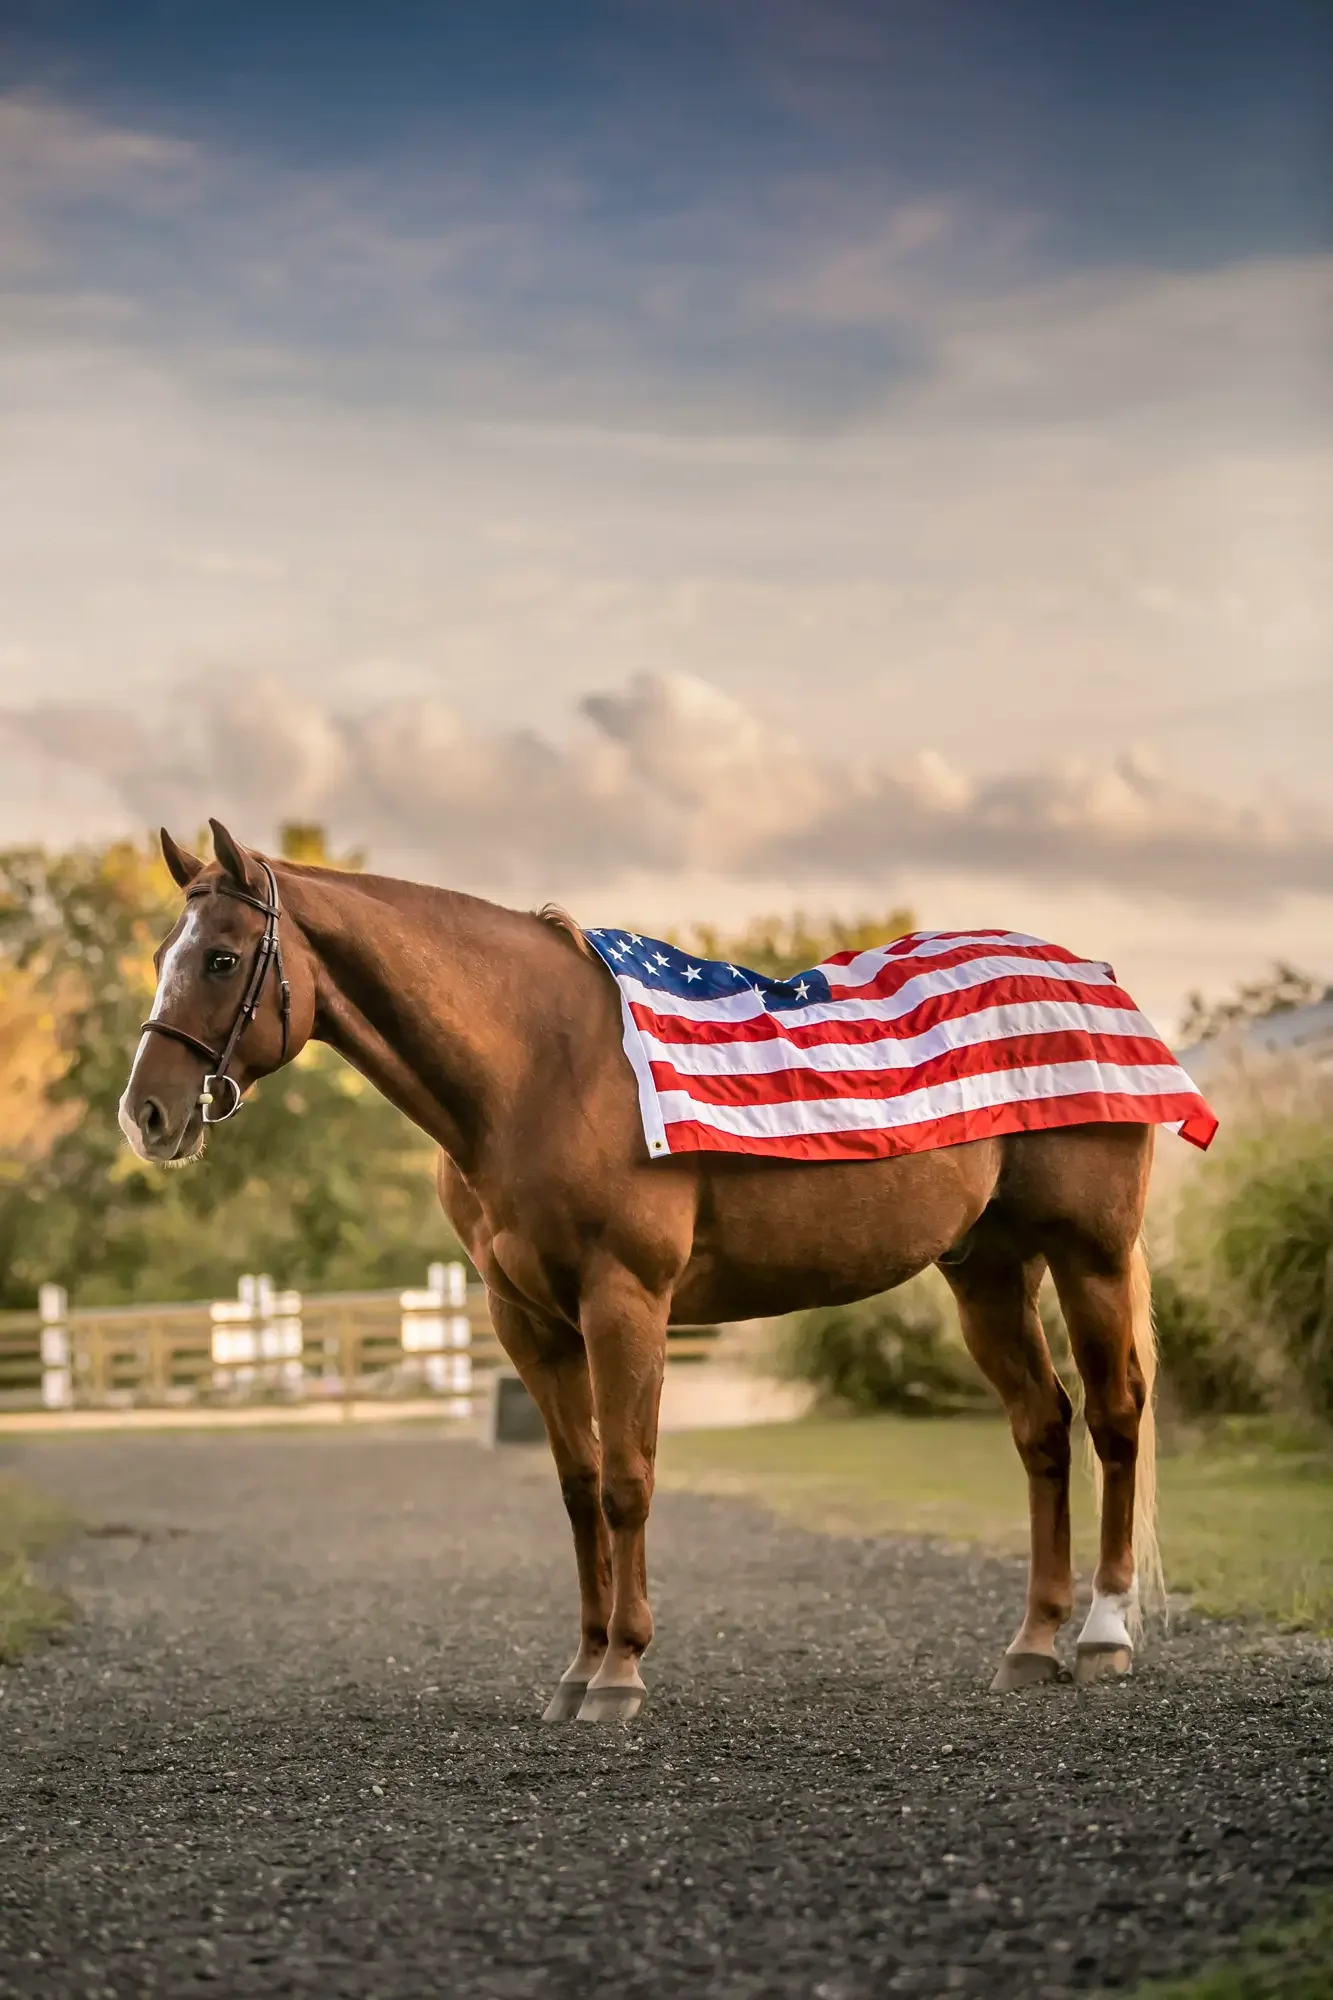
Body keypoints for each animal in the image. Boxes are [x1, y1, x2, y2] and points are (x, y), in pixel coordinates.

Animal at [119, 820, 1162, 1721]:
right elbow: (580, 1487)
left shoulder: (624, 1303)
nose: (147, 1116)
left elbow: (627, 1480)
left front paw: (619, 1674)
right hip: (986, 1271)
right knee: (1041, 1429)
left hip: (1090, 1258)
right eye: (167, 954)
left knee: (1113, 1417)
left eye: (220, 959)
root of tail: (1091, 980)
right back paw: (1030, 1646)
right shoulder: (529, 1324)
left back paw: (1103, 1636)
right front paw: (579, 1670)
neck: (538, 1067)